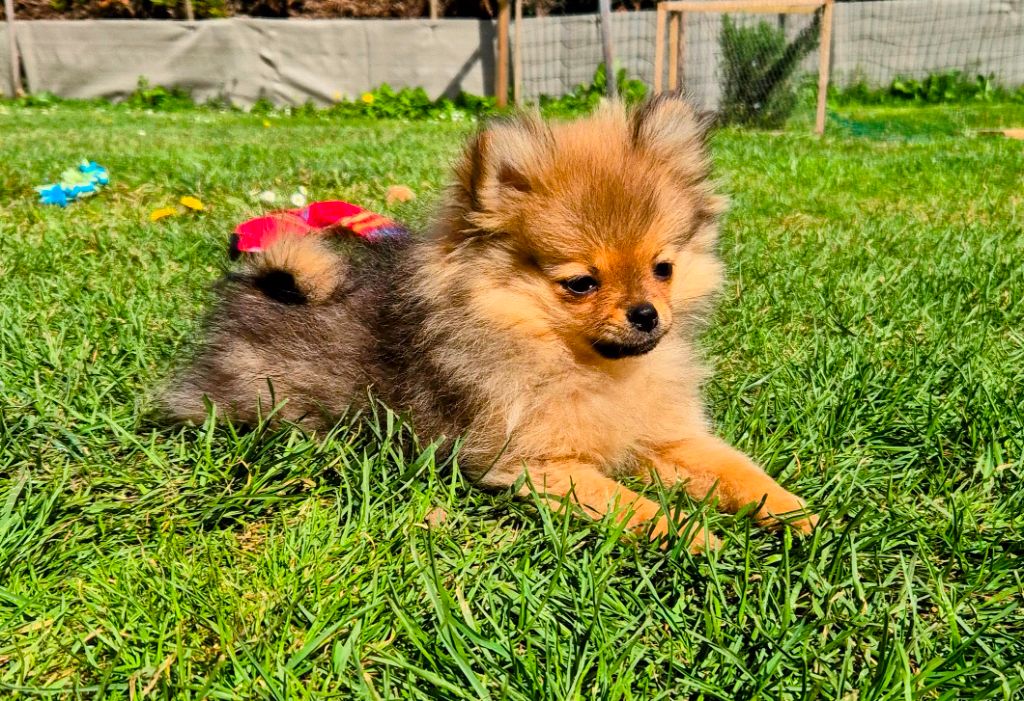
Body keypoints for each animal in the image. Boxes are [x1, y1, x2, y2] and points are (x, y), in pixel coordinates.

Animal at [164, 94, 817, 552]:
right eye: (581, 284)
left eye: (663, 269)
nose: (647, 314)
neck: (591, 370)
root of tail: (259, 286)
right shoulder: (535, 463)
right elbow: (624, 500)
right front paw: (693, 535)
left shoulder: (667, 437)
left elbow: (737, 470)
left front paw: (793, 512)